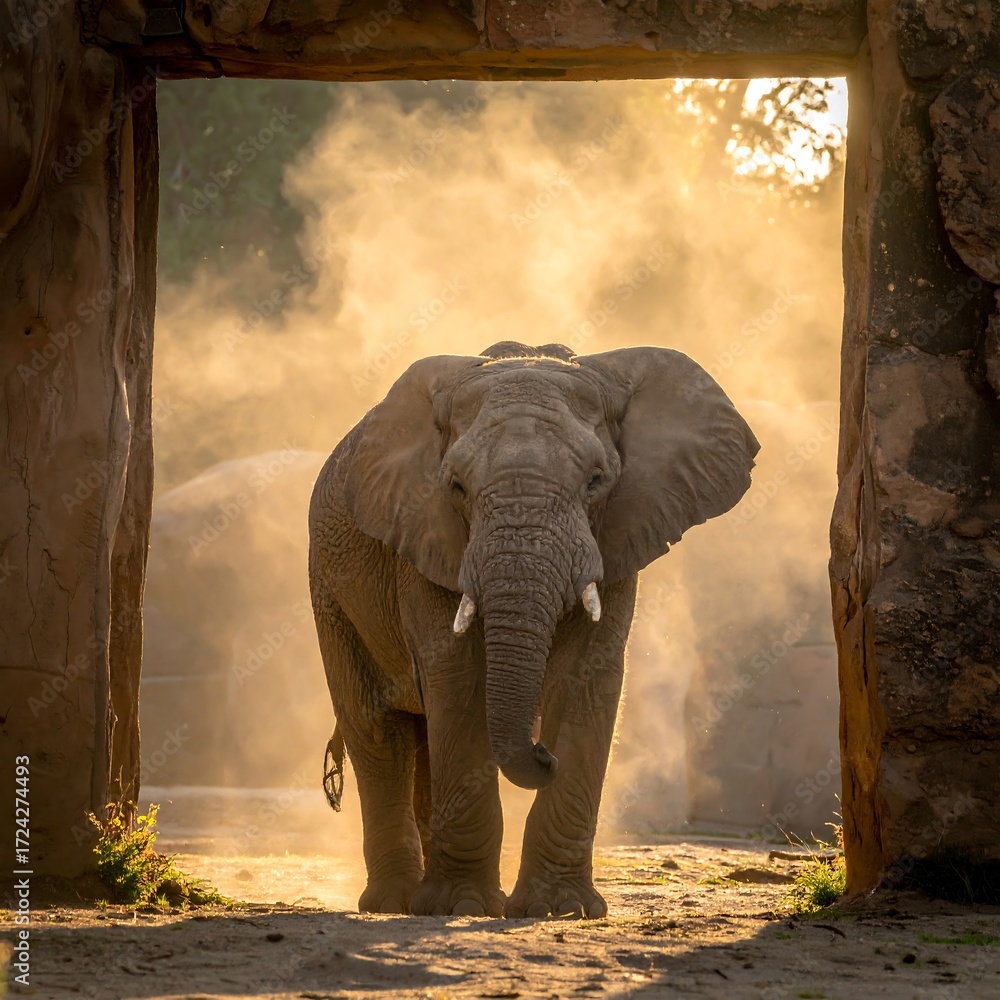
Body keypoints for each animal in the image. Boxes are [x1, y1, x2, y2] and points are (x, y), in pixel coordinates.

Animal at [309, 341, 758, 918]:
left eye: (597, 480)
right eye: (455, 486)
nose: (544, 753)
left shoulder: (617, 537)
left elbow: (587, 683)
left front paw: (559, 909)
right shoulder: (426, 540)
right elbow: (457, 683)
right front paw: (462, 908)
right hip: (329, 590)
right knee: (377, 728)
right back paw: (397, 902)